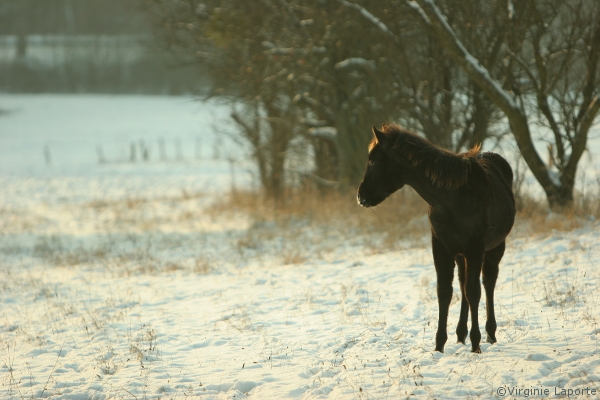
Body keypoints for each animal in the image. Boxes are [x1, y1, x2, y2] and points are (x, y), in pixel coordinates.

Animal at [356, 125, 516, 354]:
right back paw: (461, 334)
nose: (361, 196)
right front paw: (439, 344)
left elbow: (474, 291)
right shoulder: (441, 246)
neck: (452, 199)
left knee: (488, 282)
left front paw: (476, 344)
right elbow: (445, 292)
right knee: (463, 284)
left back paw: (490, 333)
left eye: (373, 160)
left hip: (495, 247)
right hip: (461, 254)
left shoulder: (475, 247)